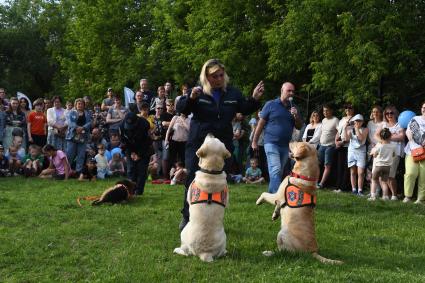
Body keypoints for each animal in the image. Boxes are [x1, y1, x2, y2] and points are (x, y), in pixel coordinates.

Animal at [173, 134, 230, 262]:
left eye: (208, 140)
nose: (210, 133)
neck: (212, 171)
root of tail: (205, 253)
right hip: (224, 238)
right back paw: (225, 252)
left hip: (184, 233)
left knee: (185, 251)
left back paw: (177, 250)